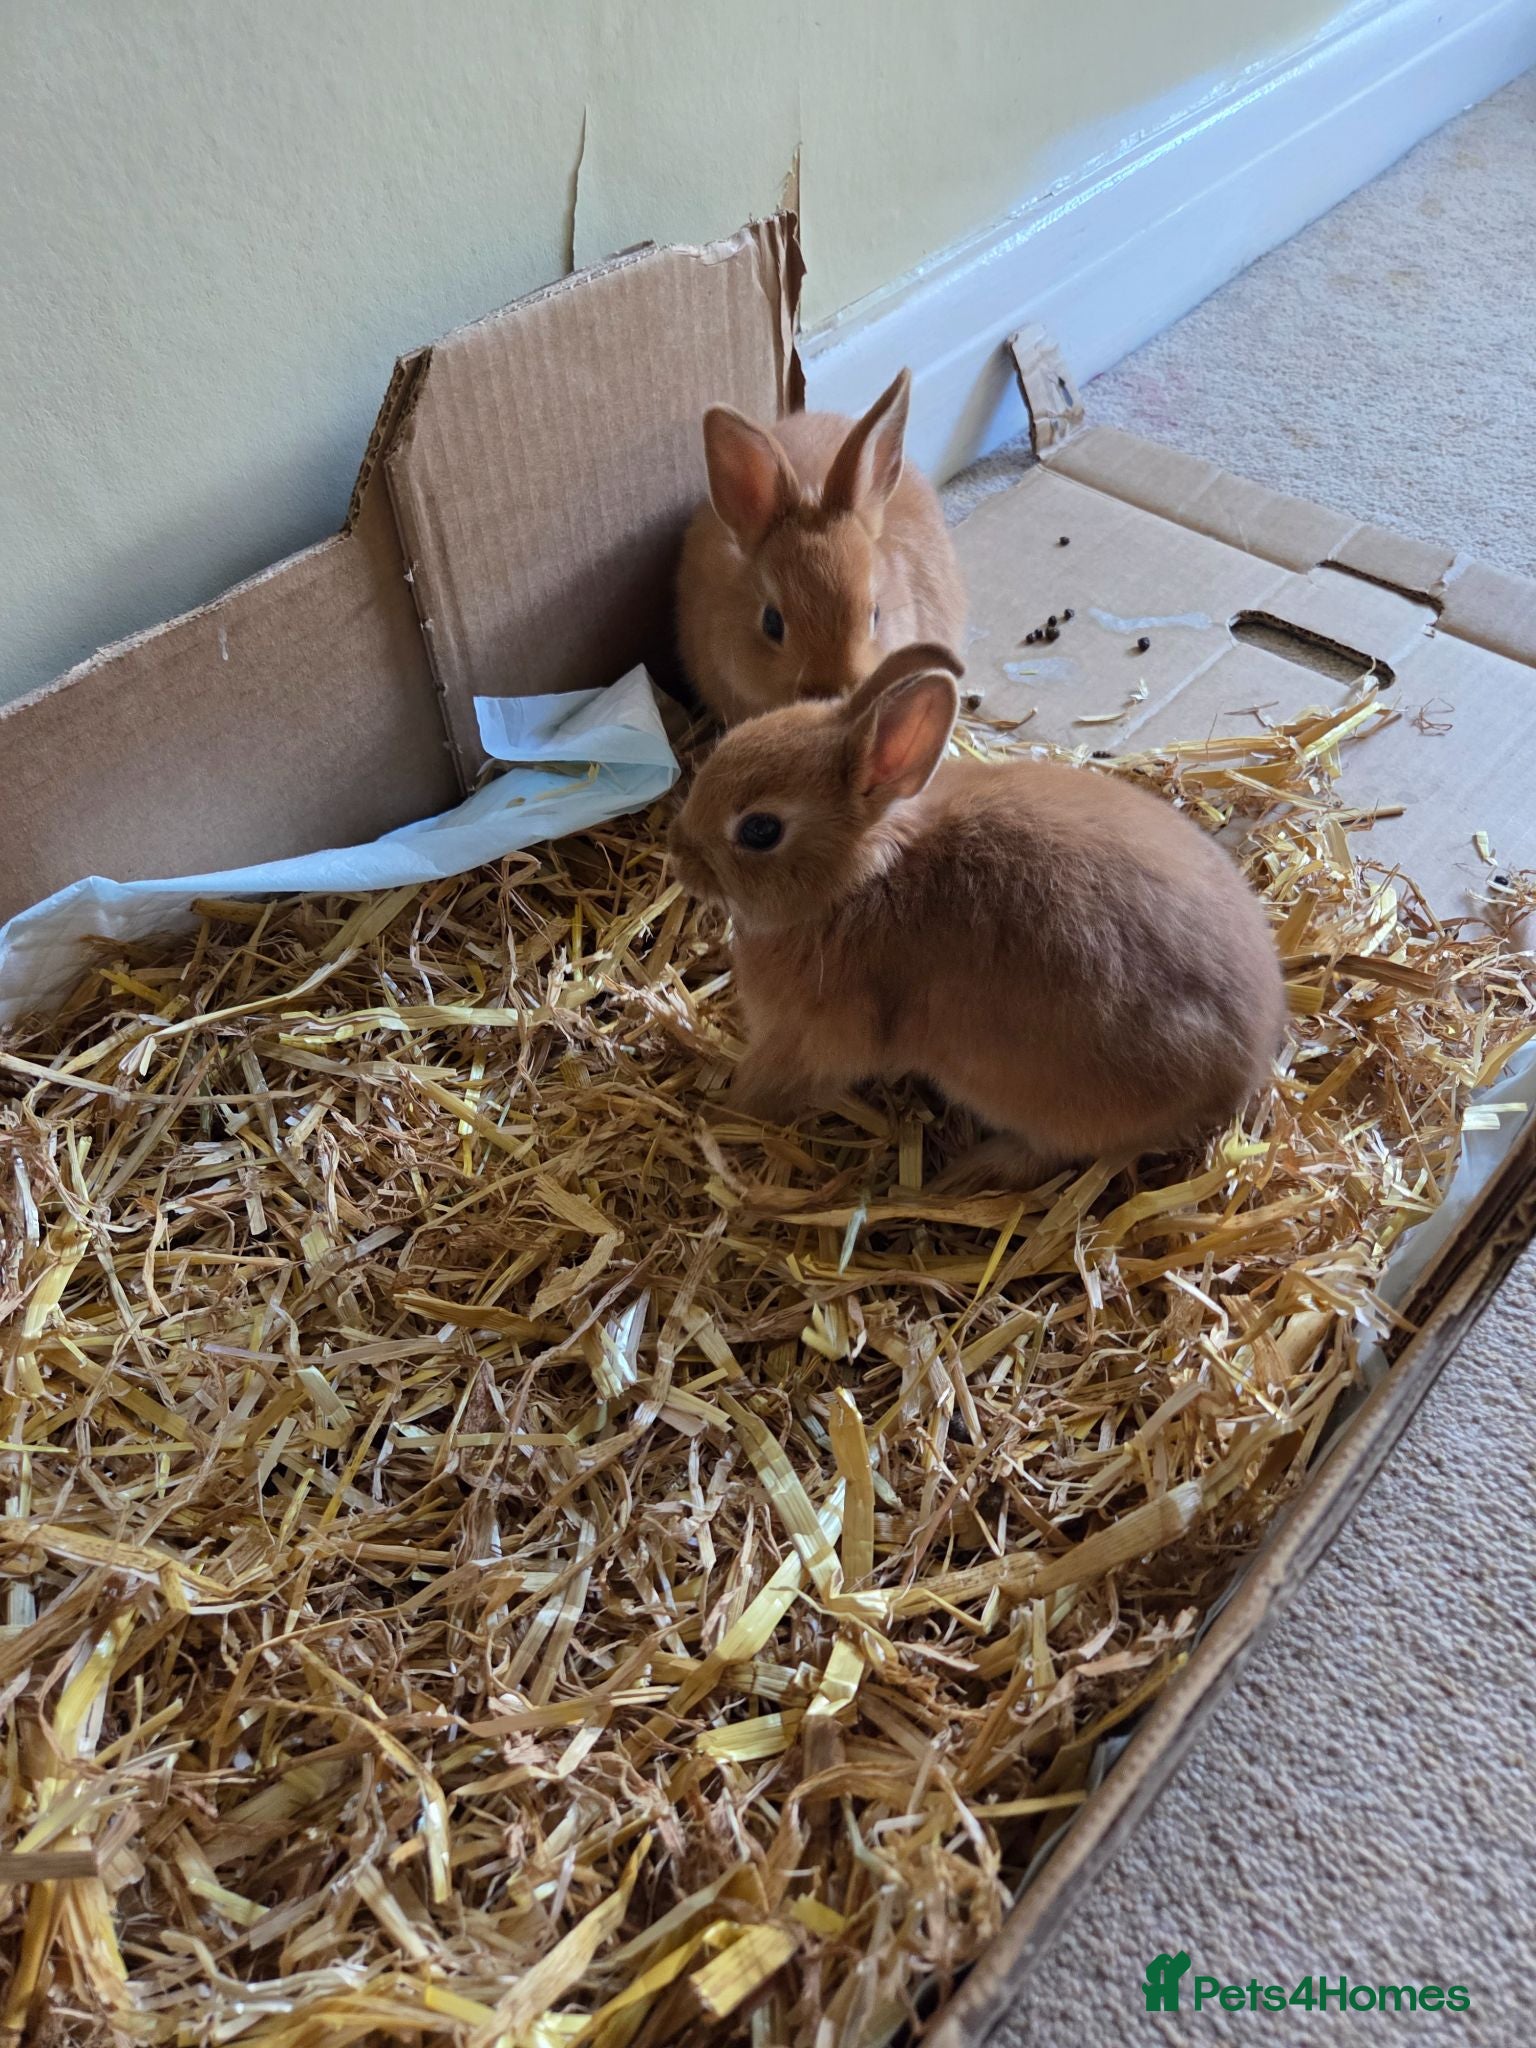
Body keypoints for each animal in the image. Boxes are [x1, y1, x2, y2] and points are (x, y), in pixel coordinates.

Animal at [668, 643, 1287, 1187]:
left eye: (760, 830)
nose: (679, 855)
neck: (856, 880)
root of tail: (1243, 1076)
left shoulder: (808, 1038)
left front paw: (723, 1112)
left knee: (1048, 1156)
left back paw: (966, 1175)